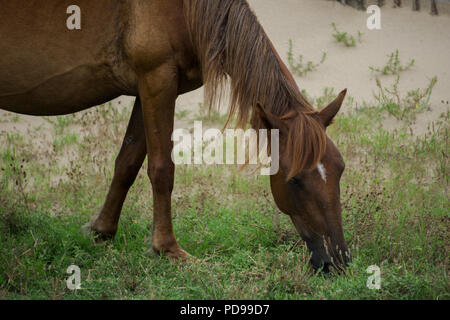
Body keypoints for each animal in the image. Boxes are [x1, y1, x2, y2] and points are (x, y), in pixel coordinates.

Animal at [0, 0, 352, 272]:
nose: (339, 260)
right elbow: (161, 170)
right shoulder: (158, 81)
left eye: (341, 169)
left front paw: (101, 230)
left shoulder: (147, 89)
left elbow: (127, 162)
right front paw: (167, 248)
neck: (183, 9)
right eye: (294, 181)